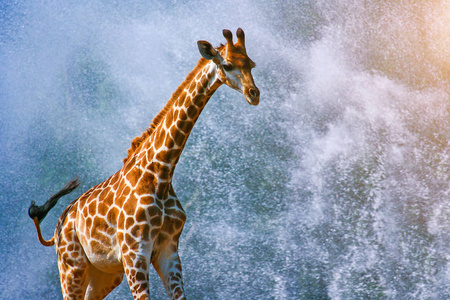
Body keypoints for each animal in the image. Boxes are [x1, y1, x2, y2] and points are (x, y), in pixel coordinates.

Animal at [28, 28, 258, 300]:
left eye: (252, 64)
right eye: (228, 64)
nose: (254, 94)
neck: (160, 173)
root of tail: (56, 232)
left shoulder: (168, 249)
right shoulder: (134, 252)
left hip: (104, 273)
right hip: (71, 267)